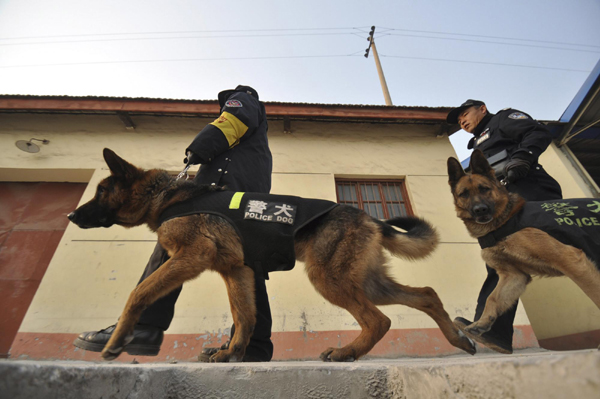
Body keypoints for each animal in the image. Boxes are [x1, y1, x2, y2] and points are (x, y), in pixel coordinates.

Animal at [67, 149, 478, 362]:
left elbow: (139, 293)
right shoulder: (237, 272)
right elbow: (245, 316)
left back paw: (346, 353)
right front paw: (232, 353)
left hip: (328, 278)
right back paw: (459, 340)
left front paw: (116, 341)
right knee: (426, 295)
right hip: (366, 281)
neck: (166, 197)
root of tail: (367, 215)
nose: (70, 216)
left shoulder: (191, 256)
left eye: (101, 191)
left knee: (379, 320)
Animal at [446, 149, 600, 338]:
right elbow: (492, 298)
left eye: (484, 189)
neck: (503, 222)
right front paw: (482, 322)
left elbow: (594, 293)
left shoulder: (570, 259)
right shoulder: (514, 276)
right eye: (464, 194)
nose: (480, 210)